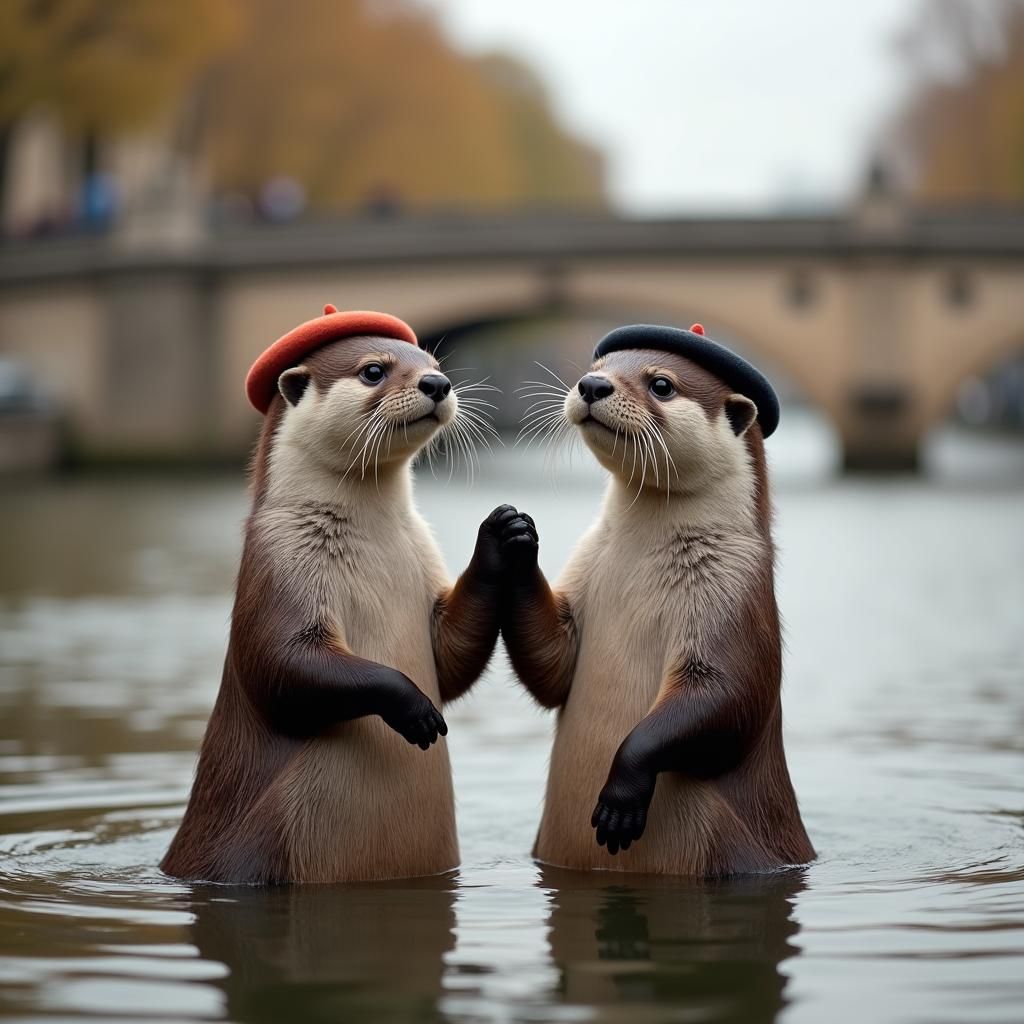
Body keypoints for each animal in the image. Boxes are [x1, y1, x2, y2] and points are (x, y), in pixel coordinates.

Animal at [162, 307, 534, 884]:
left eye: (433, 364)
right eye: (373, 371)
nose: (436, 384)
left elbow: (450, 657)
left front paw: (502, 534)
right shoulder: (278, 565)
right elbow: (281, 664)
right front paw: (414, 707)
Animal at [500, 323, 814, 876]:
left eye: (662, 384)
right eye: (597, 368)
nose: (591, 386)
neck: (637, 565)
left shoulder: (735, 595)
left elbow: (728, 696)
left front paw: (621, 795)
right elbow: (553, 666)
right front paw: (513, 537)